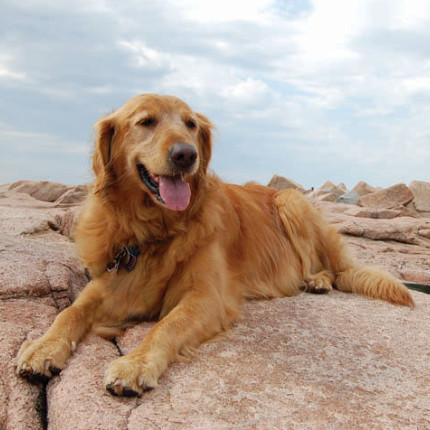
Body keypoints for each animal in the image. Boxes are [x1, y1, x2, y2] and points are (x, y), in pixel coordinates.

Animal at [15, 94, 414, 396]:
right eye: (146, 122)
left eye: (191, 125)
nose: (185, 155)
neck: (154, 228)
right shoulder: (110, 281)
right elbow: (70, 312)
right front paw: (42, 347)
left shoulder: (206, 296)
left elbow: (165, 326)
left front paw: (135, 363)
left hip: (291, 202)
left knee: (333, 268)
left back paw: (316, 279)